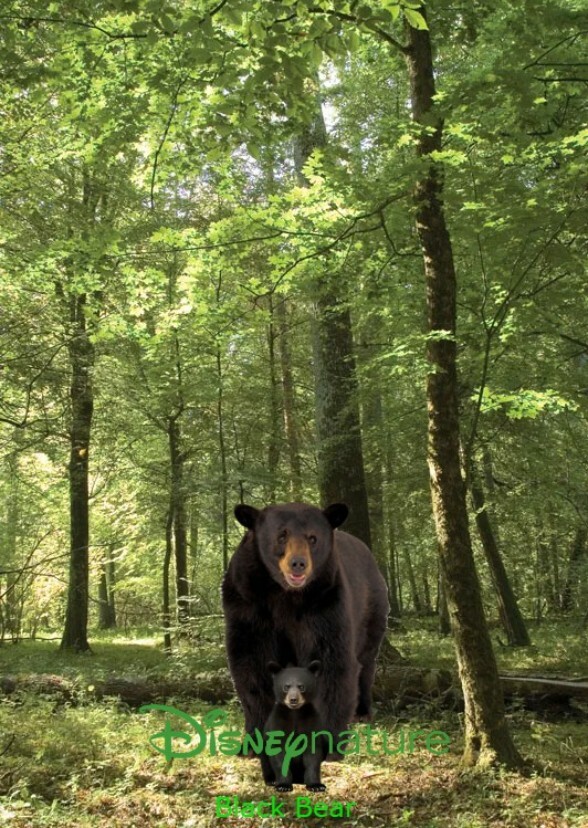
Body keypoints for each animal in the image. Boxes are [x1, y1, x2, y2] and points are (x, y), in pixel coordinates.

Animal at [221, 501, 389, 753]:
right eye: (281, 535)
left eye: (313, 538)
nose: (298, 563)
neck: (284, 594)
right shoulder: (246, 603)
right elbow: (252, 664)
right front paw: (257, 740)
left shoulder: (326, 602)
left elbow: (330, 662)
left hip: (372, 609)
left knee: (366, 660)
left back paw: (362, 711)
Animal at [260, 661, 327, 792]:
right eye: (286, 686)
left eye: (301, 686)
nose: (293, 700)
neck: (295, 713)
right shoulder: (278, 722)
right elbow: (278, 753)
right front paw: (283, 786)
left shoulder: (311, 722)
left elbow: (313, 755)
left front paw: (316, 786)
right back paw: (271, 780)